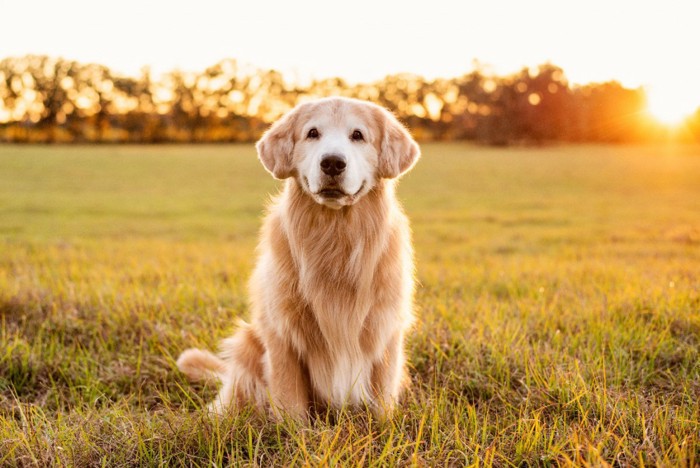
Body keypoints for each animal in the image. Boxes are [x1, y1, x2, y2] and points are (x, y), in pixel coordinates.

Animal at [178, 96, 422, 420]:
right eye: (312, 133)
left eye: (358, 135)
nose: (332, 162)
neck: (335, 235)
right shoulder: (282, 333)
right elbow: (290, 401)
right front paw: (294, 431)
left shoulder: (385, 331)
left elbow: (382, 399)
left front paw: (384, 428)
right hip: (247, 344)